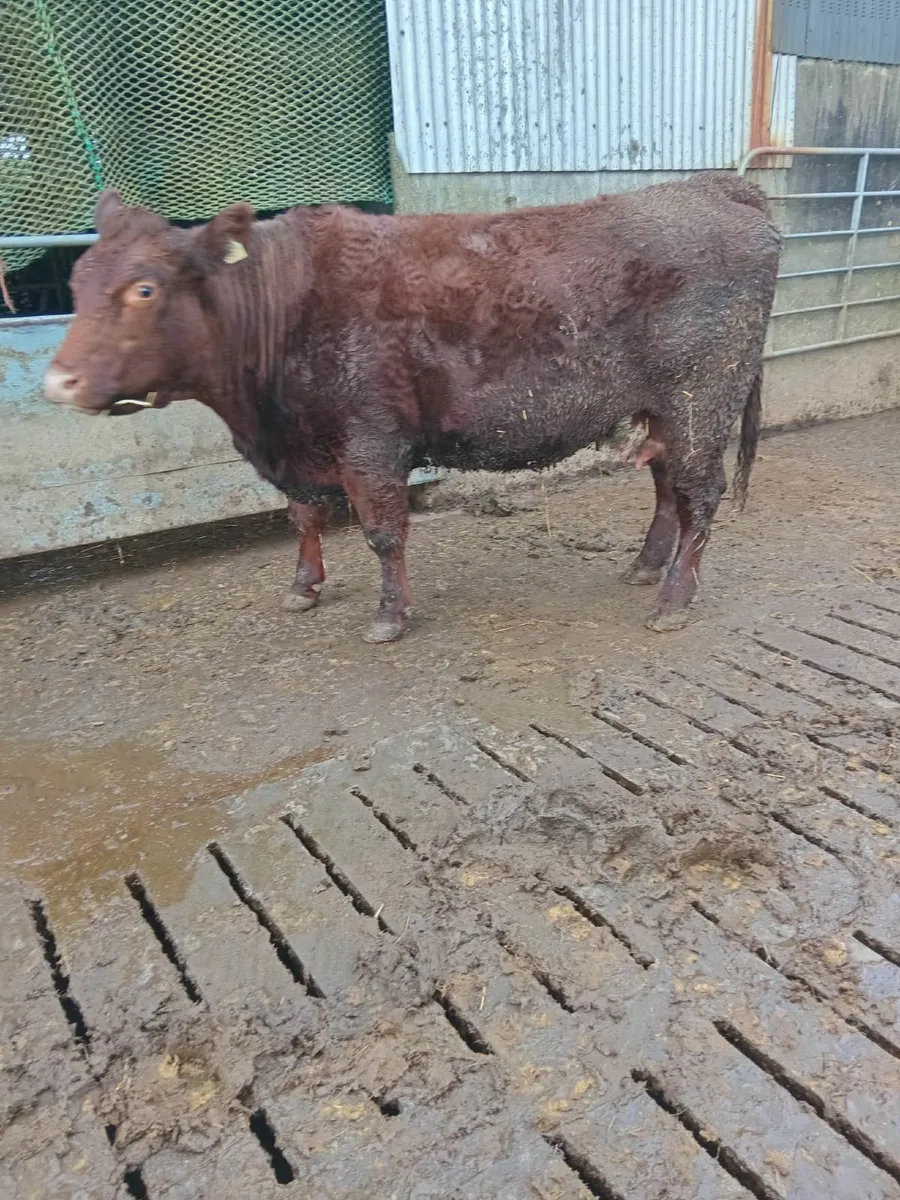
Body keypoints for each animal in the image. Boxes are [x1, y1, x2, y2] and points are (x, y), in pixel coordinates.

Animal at [45, 175, 779, 643]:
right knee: (667, 486)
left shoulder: (371, 441)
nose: (57, 381)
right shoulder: (303, 448)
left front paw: (389, 616)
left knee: (700, 493)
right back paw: (645, 566)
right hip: (663, 407)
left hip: (703, 395)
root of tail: (715, 186)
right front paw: (304, 587)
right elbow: (304, 515)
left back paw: (674, 598)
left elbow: (382, 533)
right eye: (75, 281)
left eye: (144, 289)